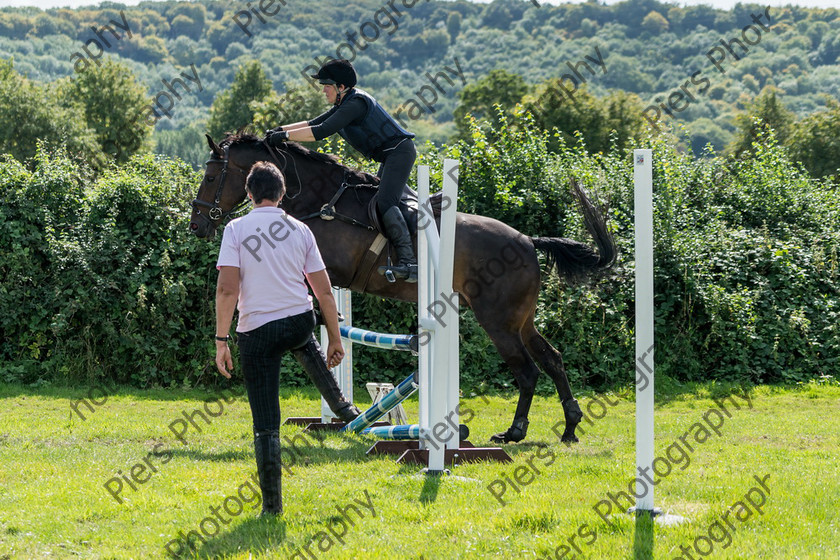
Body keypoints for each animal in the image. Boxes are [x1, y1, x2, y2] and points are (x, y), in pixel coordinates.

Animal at [192, 133, 616, 444]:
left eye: (211, 177)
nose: (197, 225)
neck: (319, 199)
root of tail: (528, 241)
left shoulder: (330, 265)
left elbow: (313, 309)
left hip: (497, 321)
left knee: (527, 371)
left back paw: (513, 433)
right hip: (520, 321)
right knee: (553, 359)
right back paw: (570, 427)